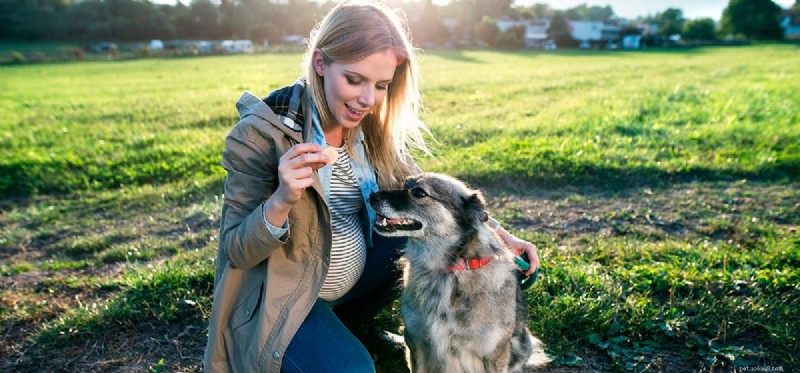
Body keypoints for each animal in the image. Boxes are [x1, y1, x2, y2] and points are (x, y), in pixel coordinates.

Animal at [370, 172, 552, 372]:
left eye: (419, 193)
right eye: (404, 184)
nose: (372, 197)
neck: (446, 270)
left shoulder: (494, 354)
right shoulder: (416, 343)